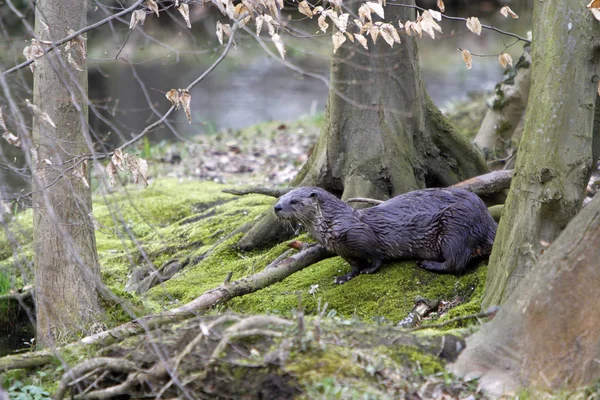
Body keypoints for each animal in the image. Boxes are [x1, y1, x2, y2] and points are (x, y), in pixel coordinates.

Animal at [274, 186, 496, 282]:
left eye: (294, 201)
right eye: (281, 197)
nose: (276, 207)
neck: (334, 225)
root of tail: (487, 220)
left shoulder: (361, 235)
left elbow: (376, 256)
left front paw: (370, 269)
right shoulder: (344, 251)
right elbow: (354, 265)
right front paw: (346, 277)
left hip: (456, 226)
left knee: (457, 262)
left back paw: (428, 264)